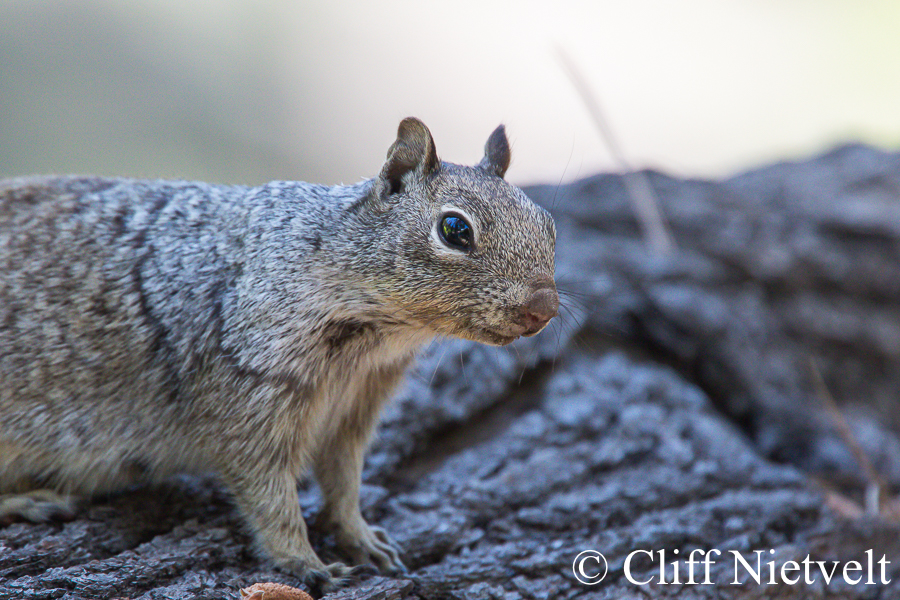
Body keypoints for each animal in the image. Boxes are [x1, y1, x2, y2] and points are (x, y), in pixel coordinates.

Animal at [0, 117, 560, 592]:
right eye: (455, 230)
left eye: (549, 224)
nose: (544, 308)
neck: (377, 334)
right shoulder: (249, 392)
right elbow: (269, 494)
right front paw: (305, 562)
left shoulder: (356, 409)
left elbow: (344, 481)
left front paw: (361, 536)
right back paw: (28, 501)